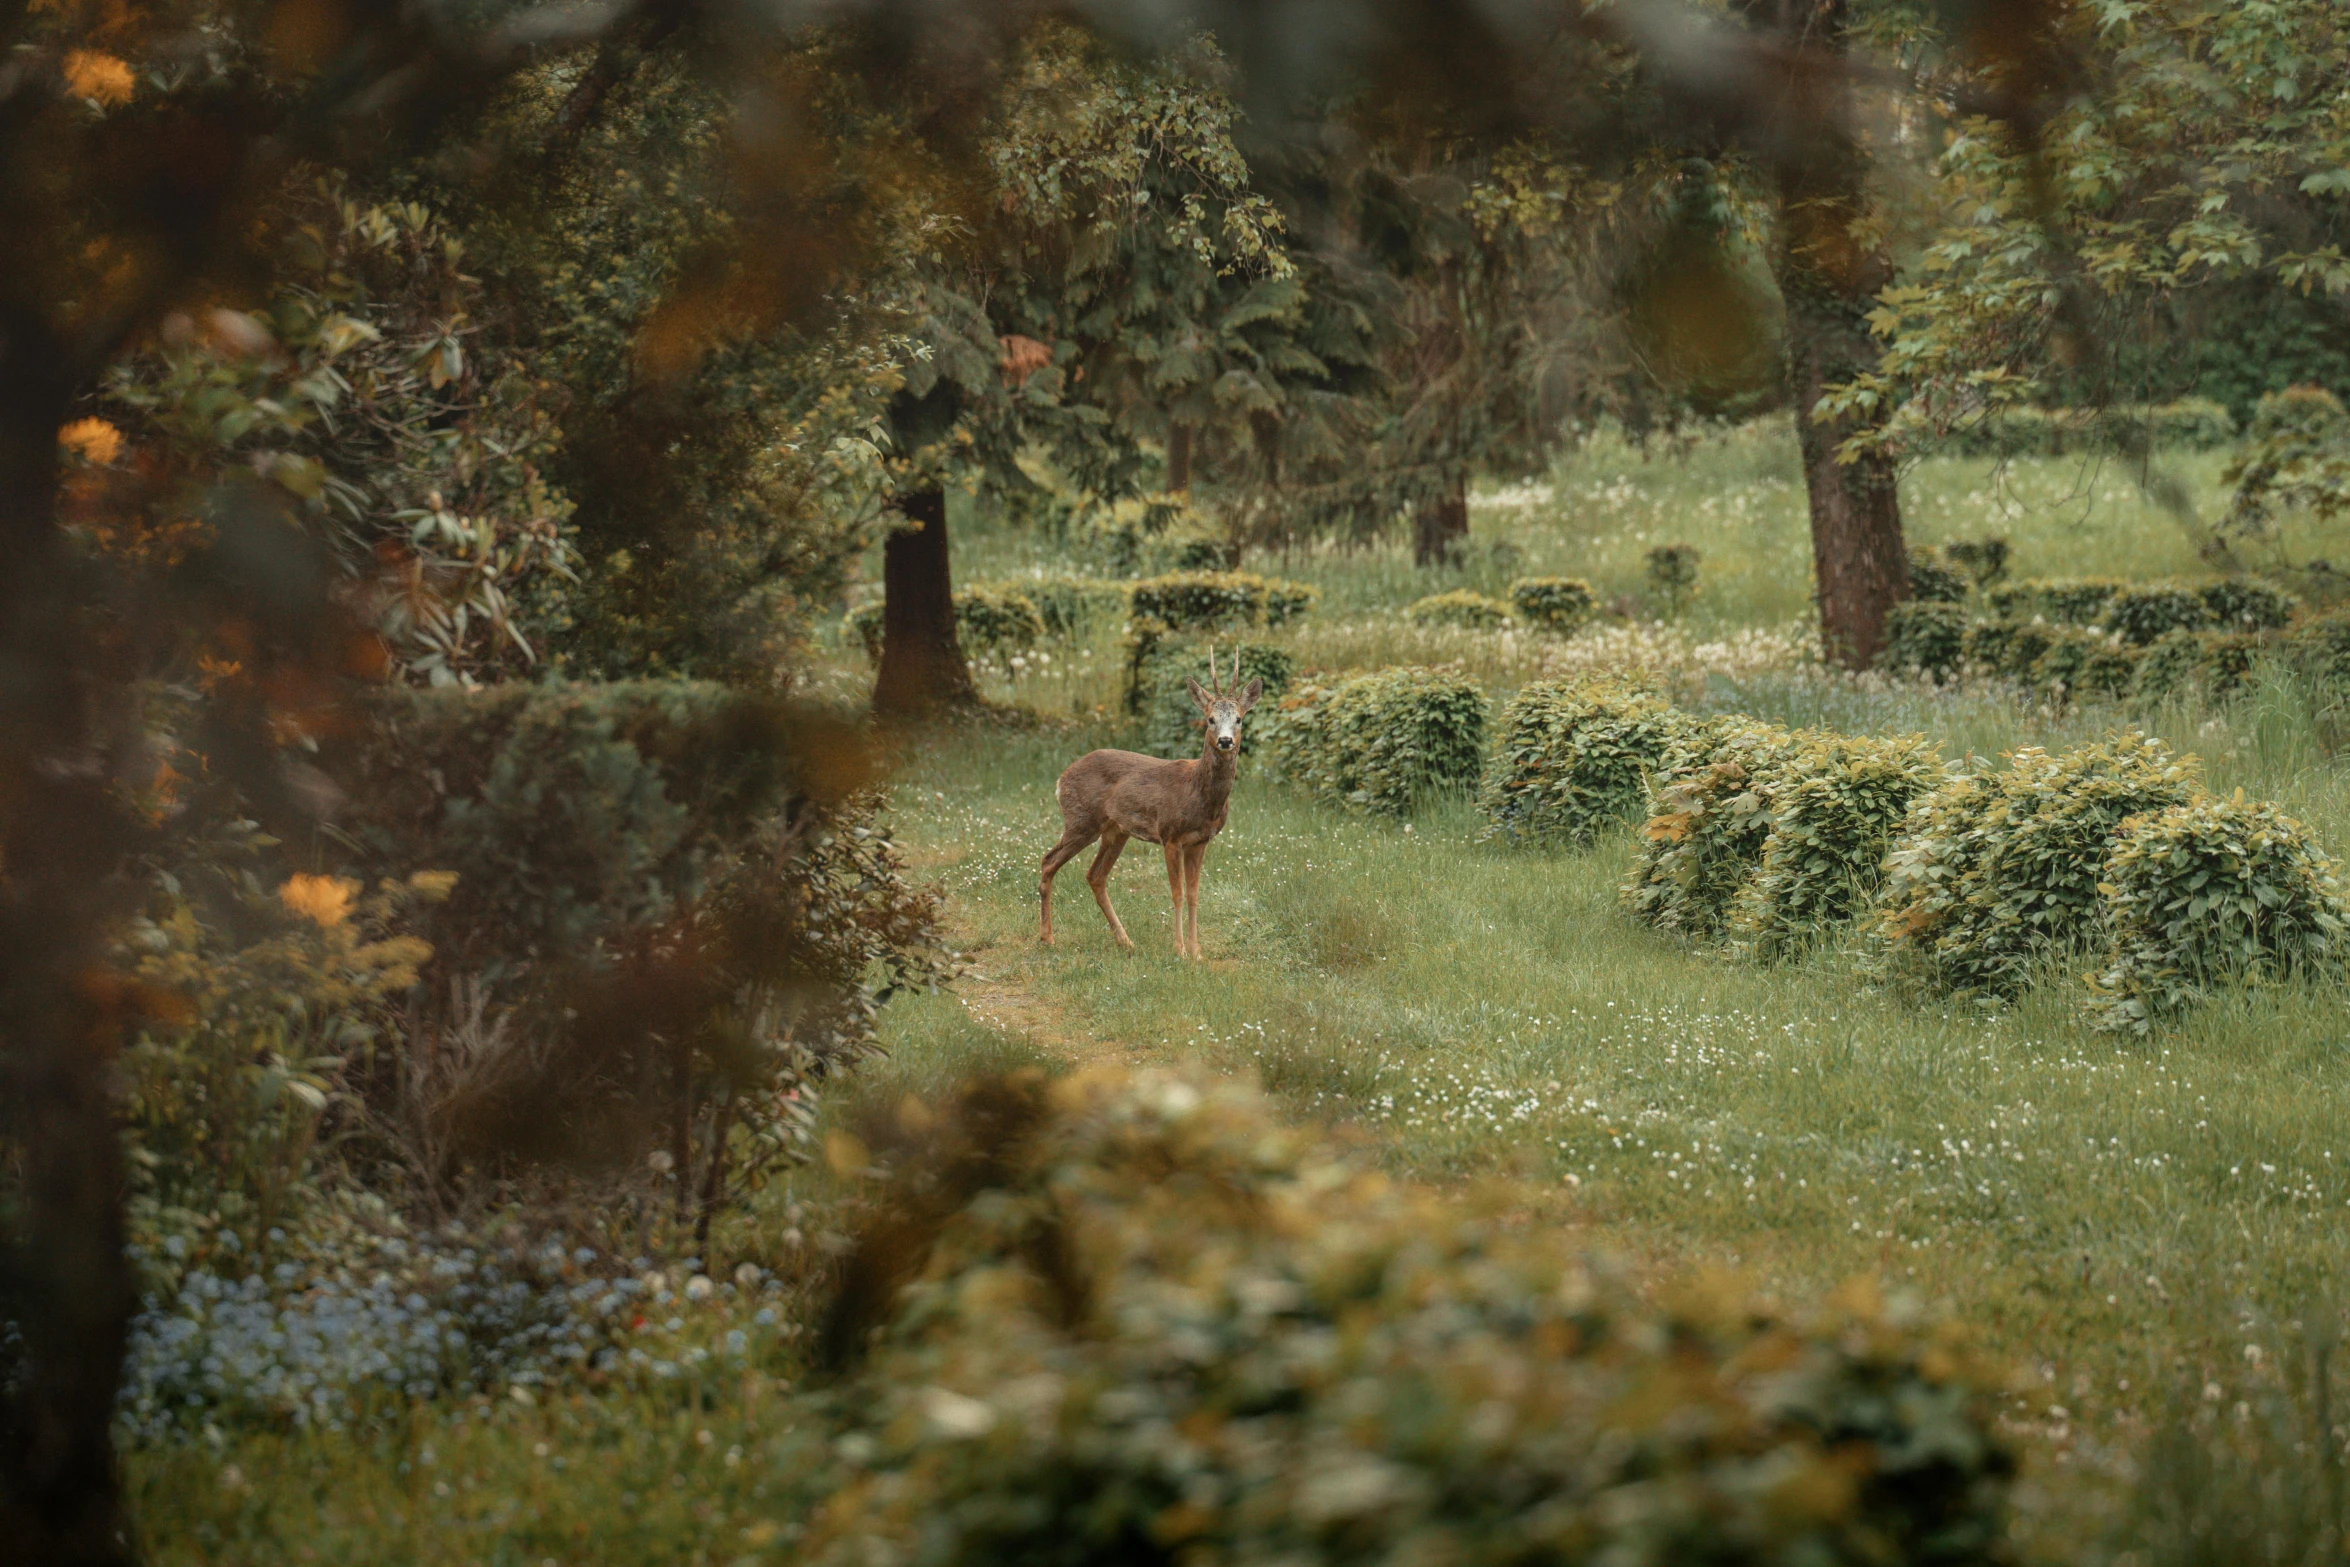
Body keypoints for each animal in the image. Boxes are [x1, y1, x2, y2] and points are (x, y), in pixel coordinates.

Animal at [1043, 648, 1269, 963]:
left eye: (1238, 719)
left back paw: (1125, 942)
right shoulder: (1170, 835)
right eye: (1210, 719)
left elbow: (1194, 894)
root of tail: (1061, 778)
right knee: (1048, 861)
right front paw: (1179, 950)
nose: (1225, 741)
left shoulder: (1200, 842)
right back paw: (1048, 938)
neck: (1200, 797)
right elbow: (1177, 893)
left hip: (1115, 831)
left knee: (1095, 875)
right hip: (1081, 820)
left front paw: (1197, 952)